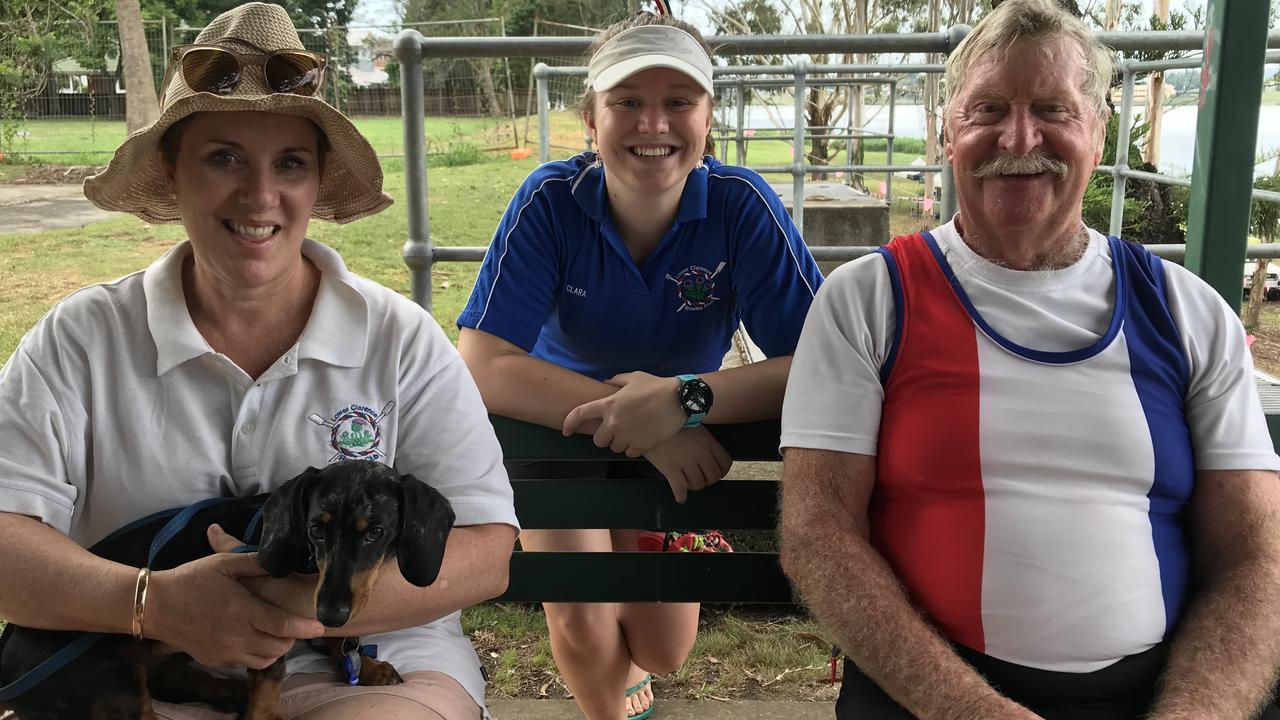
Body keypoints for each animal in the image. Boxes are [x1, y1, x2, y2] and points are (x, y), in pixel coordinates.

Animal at [0, 458, 455, 717]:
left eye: (375, 532)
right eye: (315, 530)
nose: (330, 613)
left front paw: (367, 665)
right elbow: (270, 677)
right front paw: (263, 713)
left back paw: (229, 693)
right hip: (113, 685)